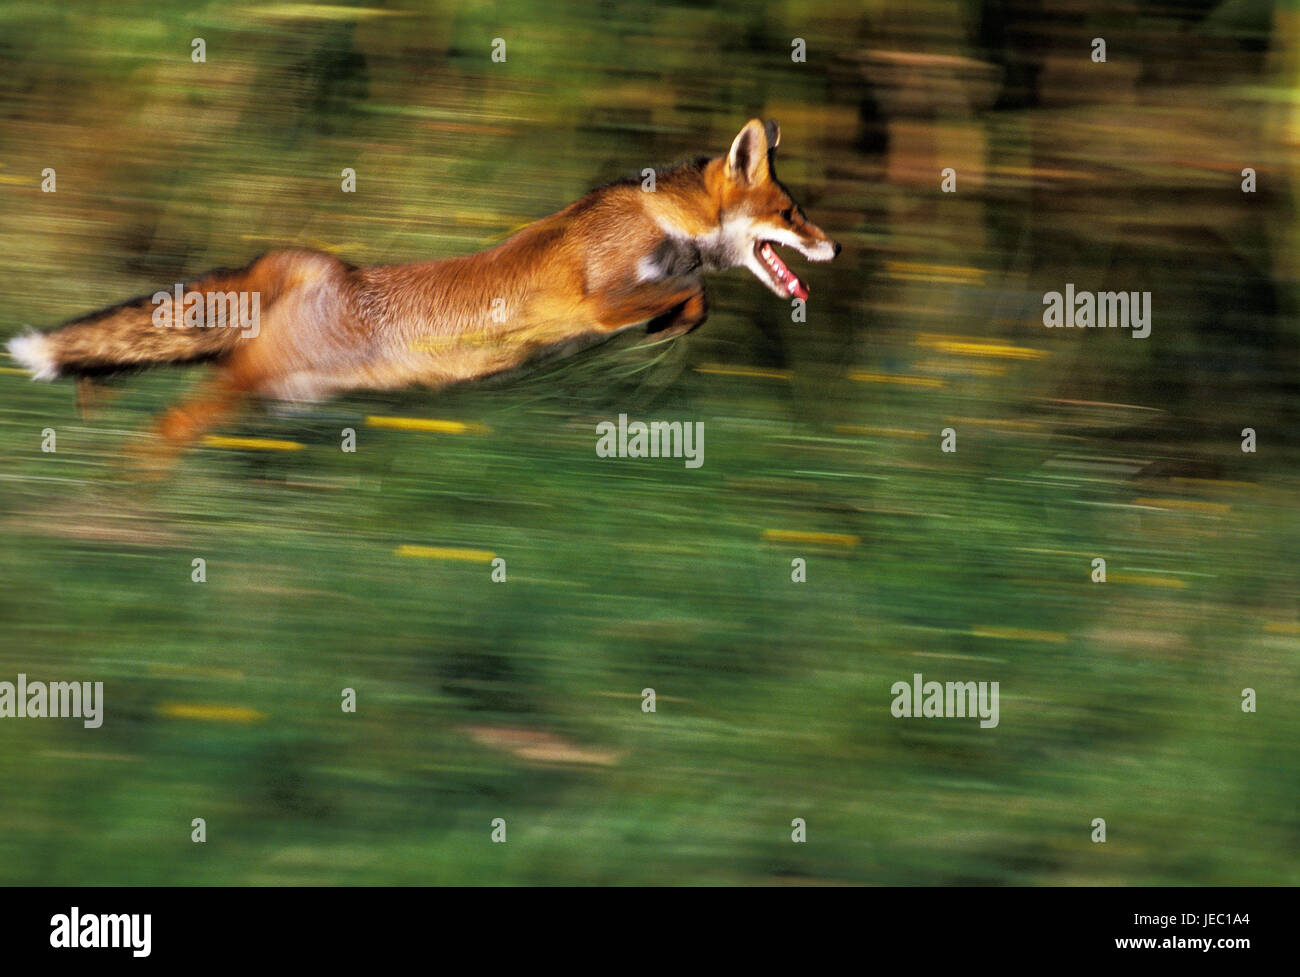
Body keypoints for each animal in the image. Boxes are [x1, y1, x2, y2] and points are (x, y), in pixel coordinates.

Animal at [7, 118, 842, 457]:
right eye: (791, 213)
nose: (834, 245)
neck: (656, 219)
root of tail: (309, 263)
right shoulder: (597, 301)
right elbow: (688, 295)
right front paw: (670, 324)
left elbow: (692, 298)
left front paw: (670, 330)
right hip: (251, 380)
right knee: (167, 424)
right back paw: (129, 506)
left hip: (277, 389)